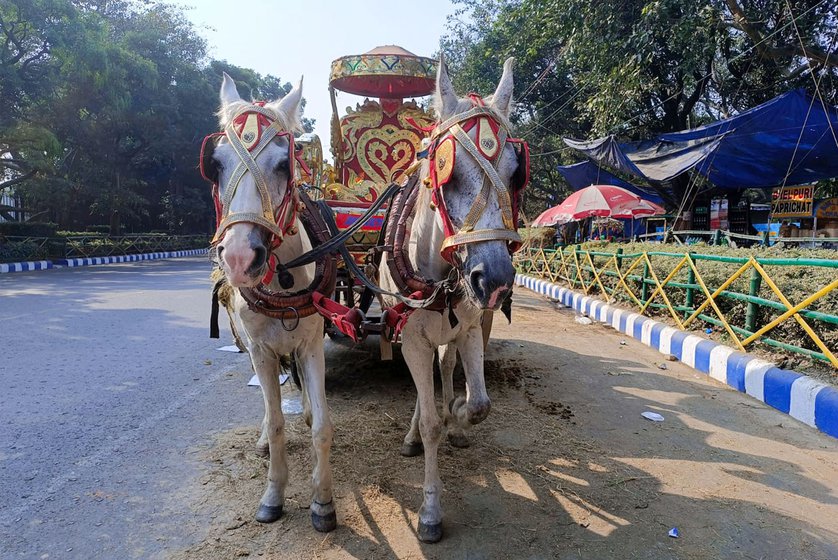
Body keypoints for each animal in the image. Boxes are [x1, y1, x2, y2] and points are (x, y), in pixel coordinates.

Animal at [206, 74, 338, 532]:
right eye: (216, 164)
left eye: (284, 164)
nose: (240, 258)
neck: (282, 279)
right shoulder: (261, 350)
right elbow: (279, 422)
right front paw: (273, 494)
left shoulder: (312, 344)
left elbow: (321, 427)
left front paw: (322, 500)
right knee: (270, 407)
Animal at [382, 58, 524, 544]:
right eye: (448, 171)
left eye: (515, 171)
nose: (496, 279)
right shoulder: (411, 339)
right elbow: (429, 423)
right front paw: (429, 511)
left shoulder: (470, 328)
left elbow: (480, 406)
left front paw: (459, 414)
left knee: (443, 369)